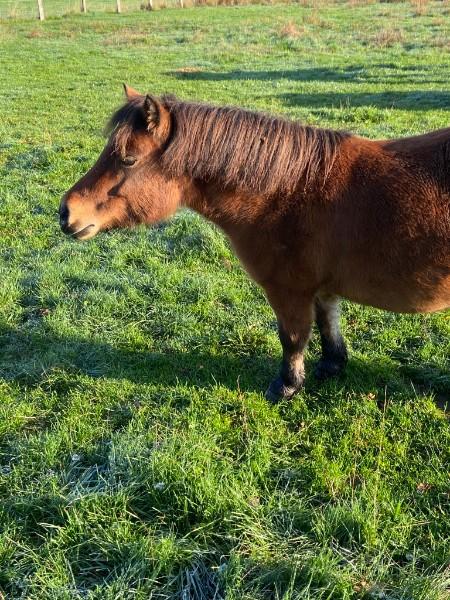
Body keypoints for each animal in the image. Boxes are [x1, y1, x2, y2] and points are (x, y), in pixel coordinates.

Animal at [60, 85, 450, 404]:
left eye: (128, 160)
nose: (65, 212)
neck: (290, 192)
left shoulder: (288, 291)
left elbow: (292, 337)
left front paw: (286, 387)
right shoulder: (321, 289)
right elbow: (329, 326)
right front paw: (330, 367)